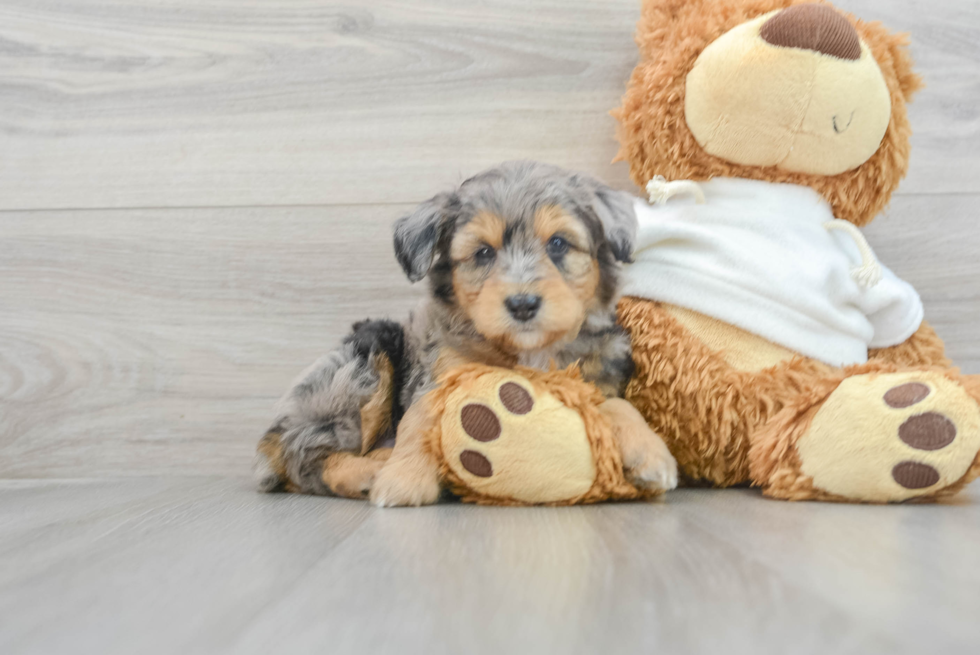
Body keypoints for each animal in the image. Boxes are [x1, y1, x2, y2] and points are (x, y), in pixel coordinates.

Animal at [255, 160, 672, 508]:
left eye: (558, 243)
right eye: (483, 253)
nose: (522, 304)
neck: (528, 351)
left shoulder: (593, 379)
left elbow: (620, 406)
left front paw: (651, 454)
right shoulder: (439, 375)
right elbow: (417, 422)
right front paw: (403, 479)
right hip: (363, 364)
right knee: (305, 458)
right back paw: (369, 470)